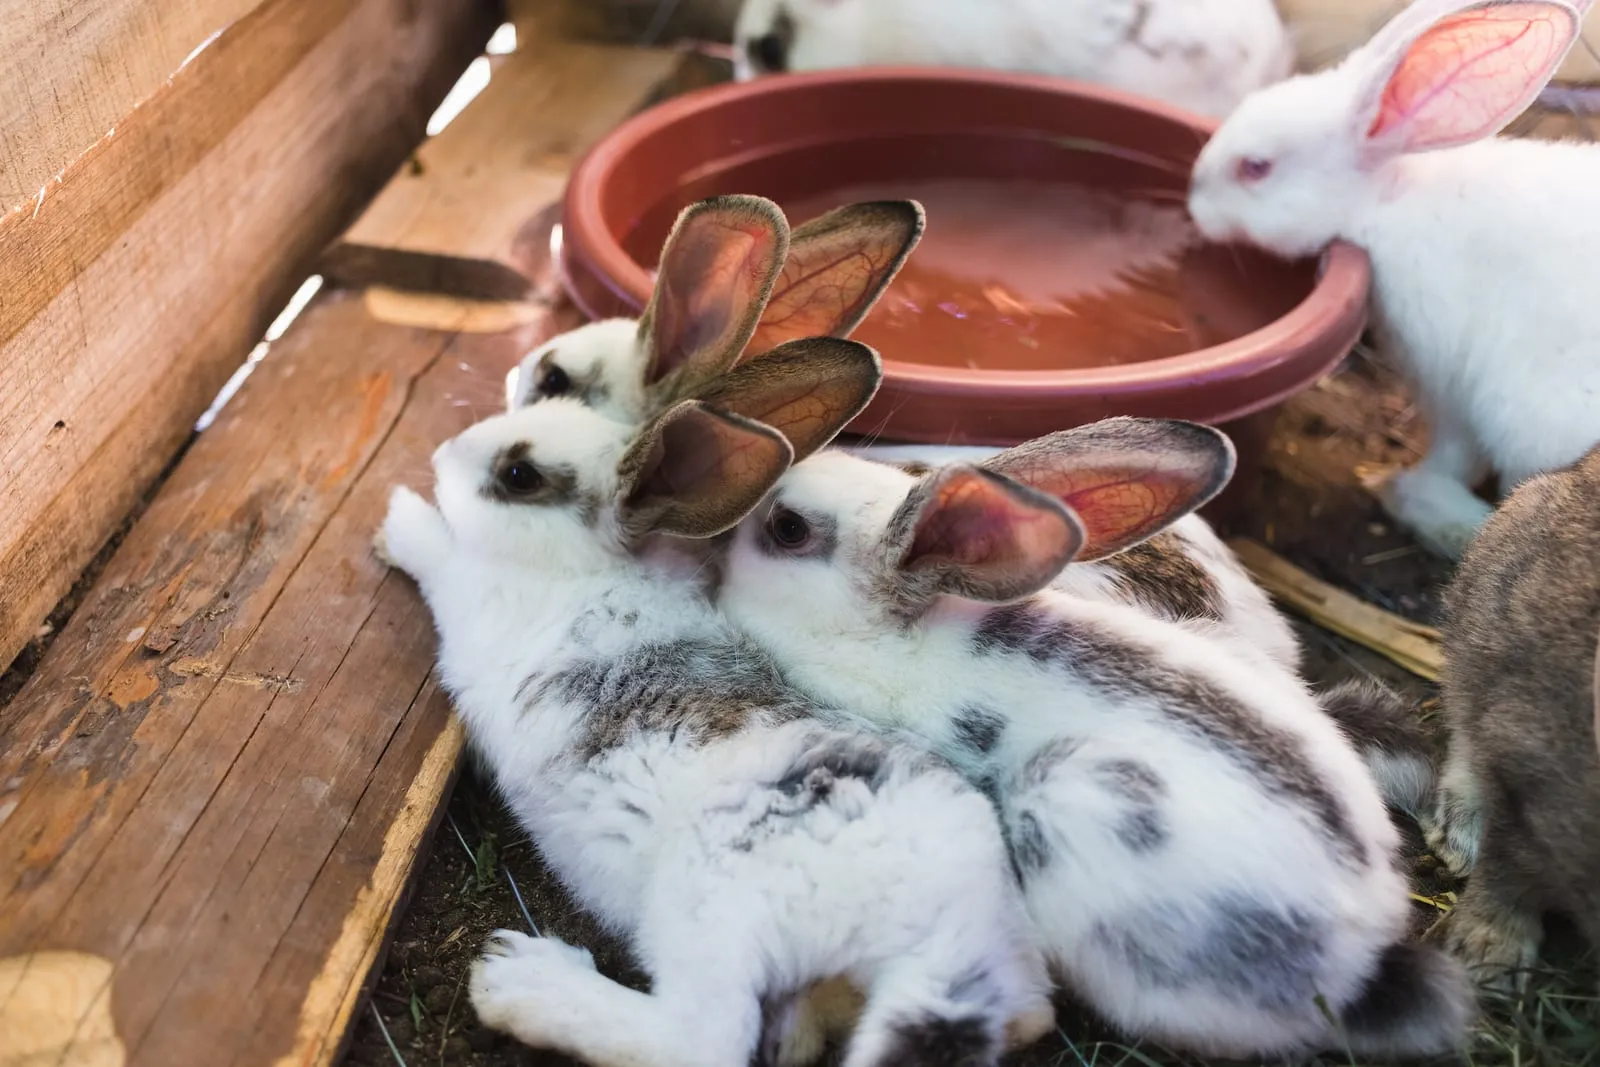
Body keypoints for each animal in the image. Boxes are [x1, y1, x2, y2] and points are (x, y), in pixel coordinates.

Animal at [374, 379, 1057, 1067]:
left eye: (520, 475)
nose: (439, 456)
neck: (592, 568)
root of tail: (949, 933)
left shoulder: (469, 592)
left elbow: (437, 552)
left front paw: (395, 520)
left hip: (706, 907)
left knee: (699, 1037)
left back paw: (516, 977)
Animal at [1188, 0, 1600, 560]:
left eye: (1256, 168)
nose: (1193, 204)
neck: (1390, 195)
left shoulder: (1449, 384)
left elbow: (1454, 451)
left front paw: (1399, 483)